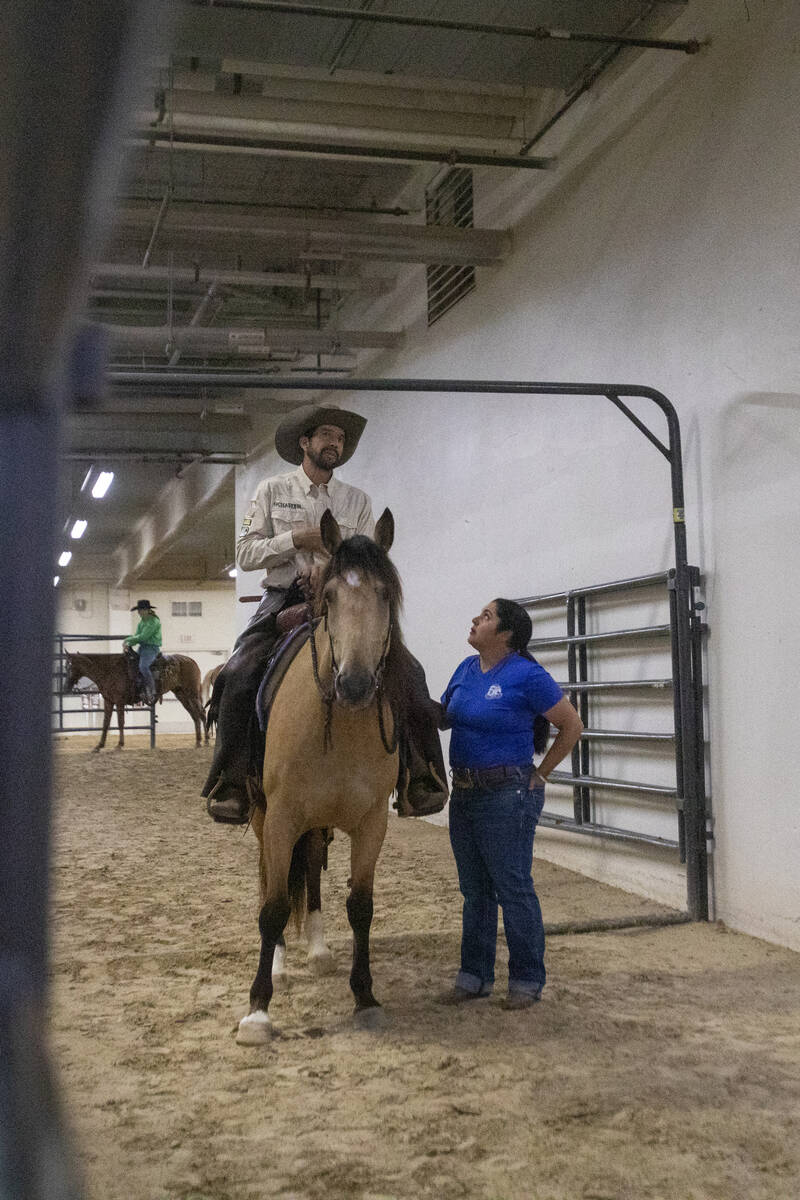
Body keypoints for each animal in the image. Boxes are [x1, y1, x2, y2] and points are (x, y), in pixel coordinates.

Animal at [64, 648, 208, 748]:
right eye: (65, 666)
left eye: (70, 666)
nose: (66, 687)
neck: (109, 670)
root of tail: (191, 661)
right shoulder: (108, 701)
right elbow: (106, 723)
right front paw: (99, 745)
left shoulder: (119, 701)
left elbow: (120, 722)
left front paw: (120, 744)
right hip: (181, 694)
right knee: (195, 715)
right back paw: (198, 741)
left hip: (192, 693)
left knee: (201, 713)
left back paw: (206, 740)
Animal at [235, 511, 402, 1046]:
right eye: (328, 597)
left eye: (385, 594)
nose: (354, 684)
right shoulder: (282, 816)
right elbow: (271, 906)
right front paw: (258, 1012)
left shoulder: (371, 823)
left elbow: (361, 905)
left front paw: (365, 997)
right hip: (265, 815)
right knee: (270, 879)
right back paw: (282, 963)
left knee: (307, 868)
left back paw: (319, 949)